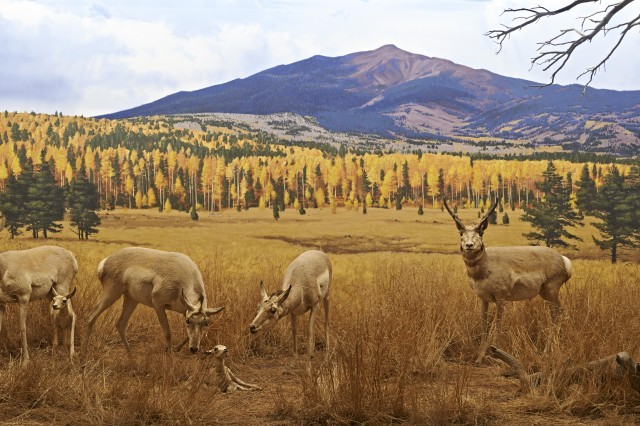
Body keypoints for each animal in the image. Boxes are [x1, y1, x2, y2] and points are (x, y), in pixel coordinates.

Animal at [82, 246, 225, 360]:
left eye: (206, 323)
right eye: (188, 321)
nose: (194, 349)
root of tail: (106, 261)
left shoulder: (185, 311)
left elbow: (186, 335)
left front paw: (175, 349)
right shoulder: (159, 306)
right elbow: (167, 332)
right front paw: (169, 357)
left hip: (131, 299)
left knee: (120, 324)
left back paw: (132, 359)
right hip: (112, 294)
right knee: (91, 318)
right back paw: (82, 358)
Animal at [442, 199, 572, 362]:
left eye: (480, 232)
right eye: (461, 232)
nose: (469, 245)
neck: (486, 269)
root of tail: (563, 259)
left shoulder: (501, 298)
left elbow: (497, 325)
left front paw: (496, 355)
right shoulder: (484, 299)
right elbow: (483, 324)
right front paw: (479, 358)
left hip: (551, 291)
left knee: (558, 315)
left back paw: (547, 352)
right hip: (545, 294)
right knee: (560, 313)